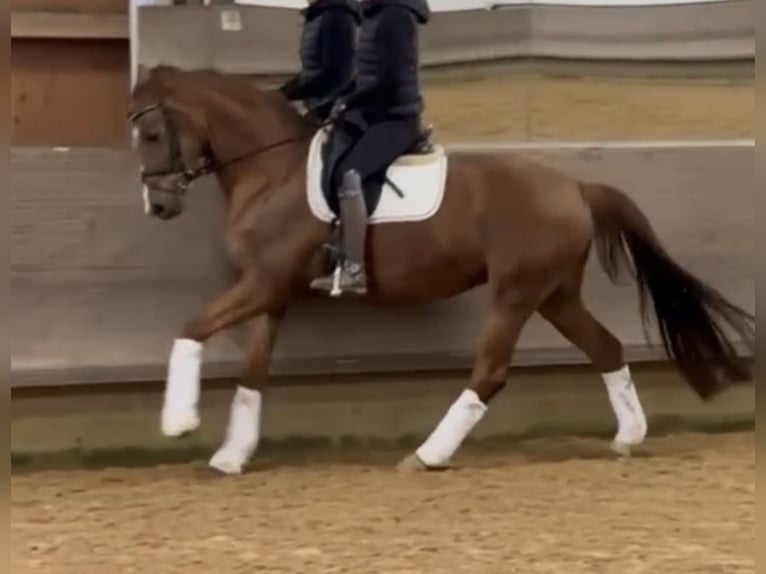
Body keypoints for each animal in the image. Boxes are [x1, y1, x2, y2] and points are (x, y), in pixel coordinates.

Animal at [128, 65, 754, 475]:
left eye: (153, 133)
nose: (158, 205)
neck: (271, 169)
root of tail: (574, 186)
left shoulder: (261, 284)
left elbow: (190, 329)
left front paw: (178, 423)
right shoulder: (273, 292)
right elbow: (253, 373)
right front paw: (231, 455)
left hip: (514, 293)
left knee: (491, 371)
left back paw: (428, 455)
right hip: (554, 294)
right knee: (605, 348)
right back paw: (628, 438)